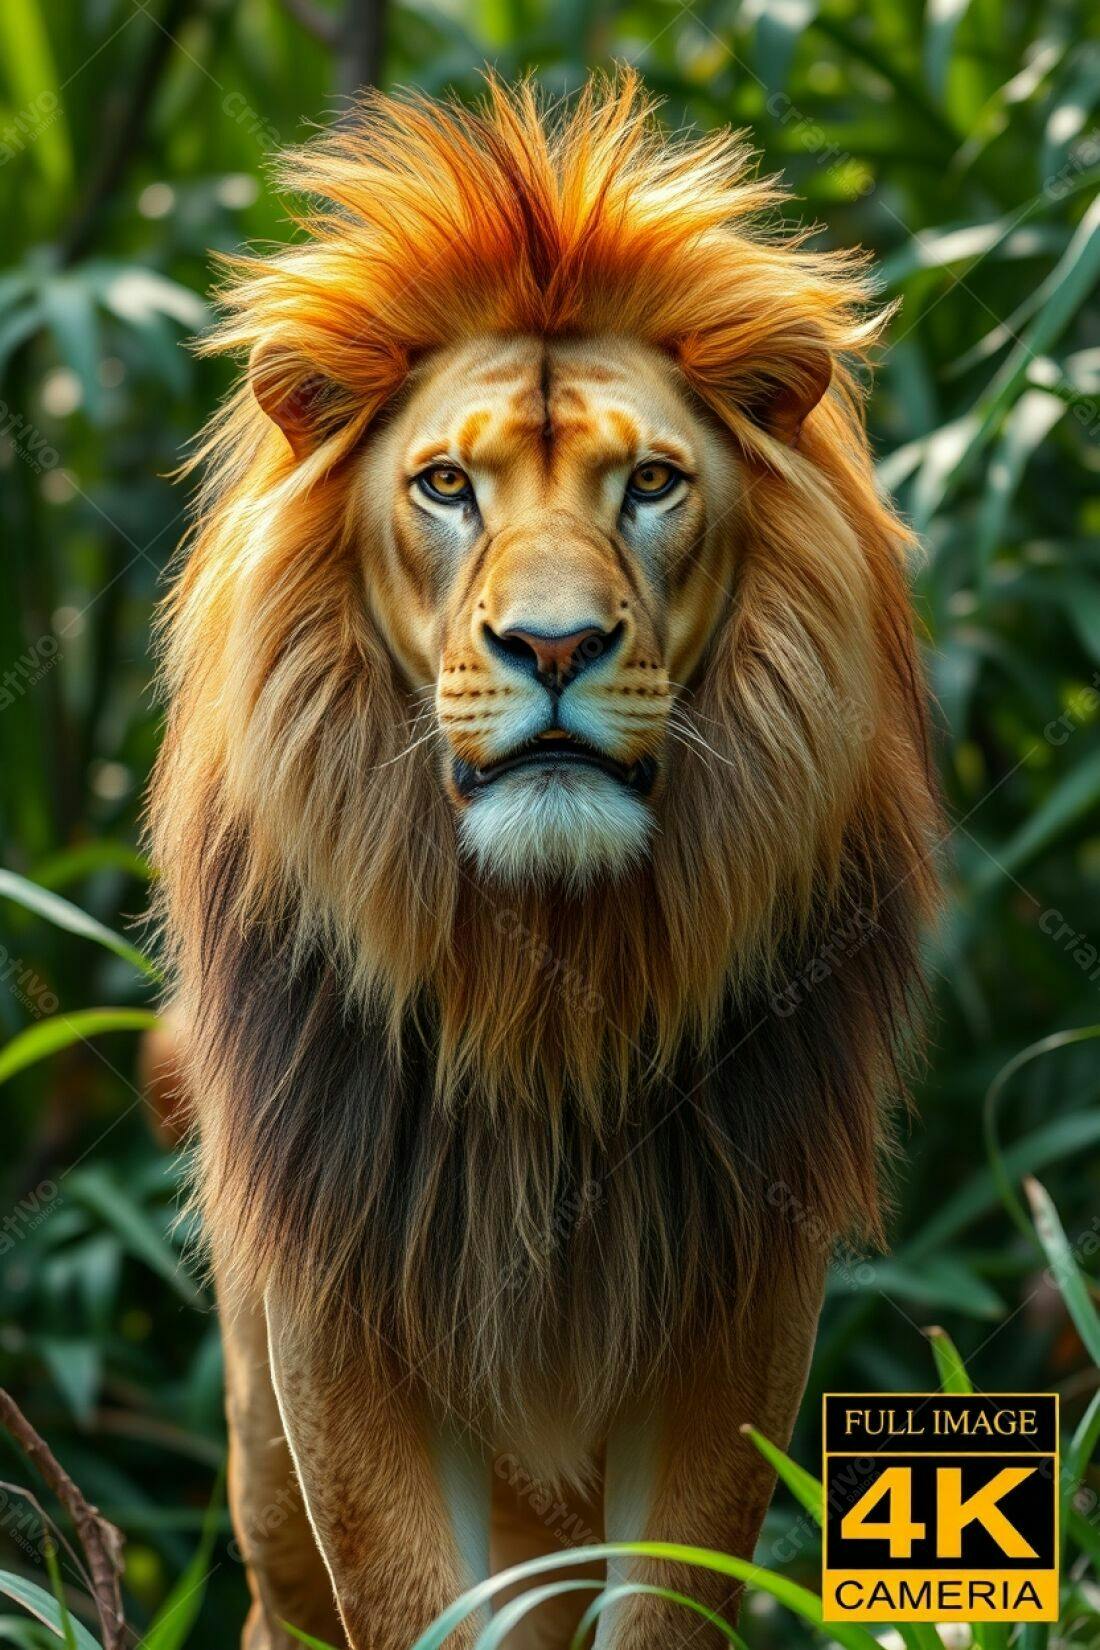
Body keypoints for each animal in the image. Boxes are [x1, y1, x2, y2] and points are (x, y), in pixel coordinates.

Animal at [147, 74, 939, 1650]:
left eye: (652, 484)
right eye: (448, 485)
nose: (556, 645)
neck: (545, 989)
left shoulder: (736, 1300)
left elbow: (669, 1603)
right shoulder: (342, 1308)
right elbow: (412, 1604)